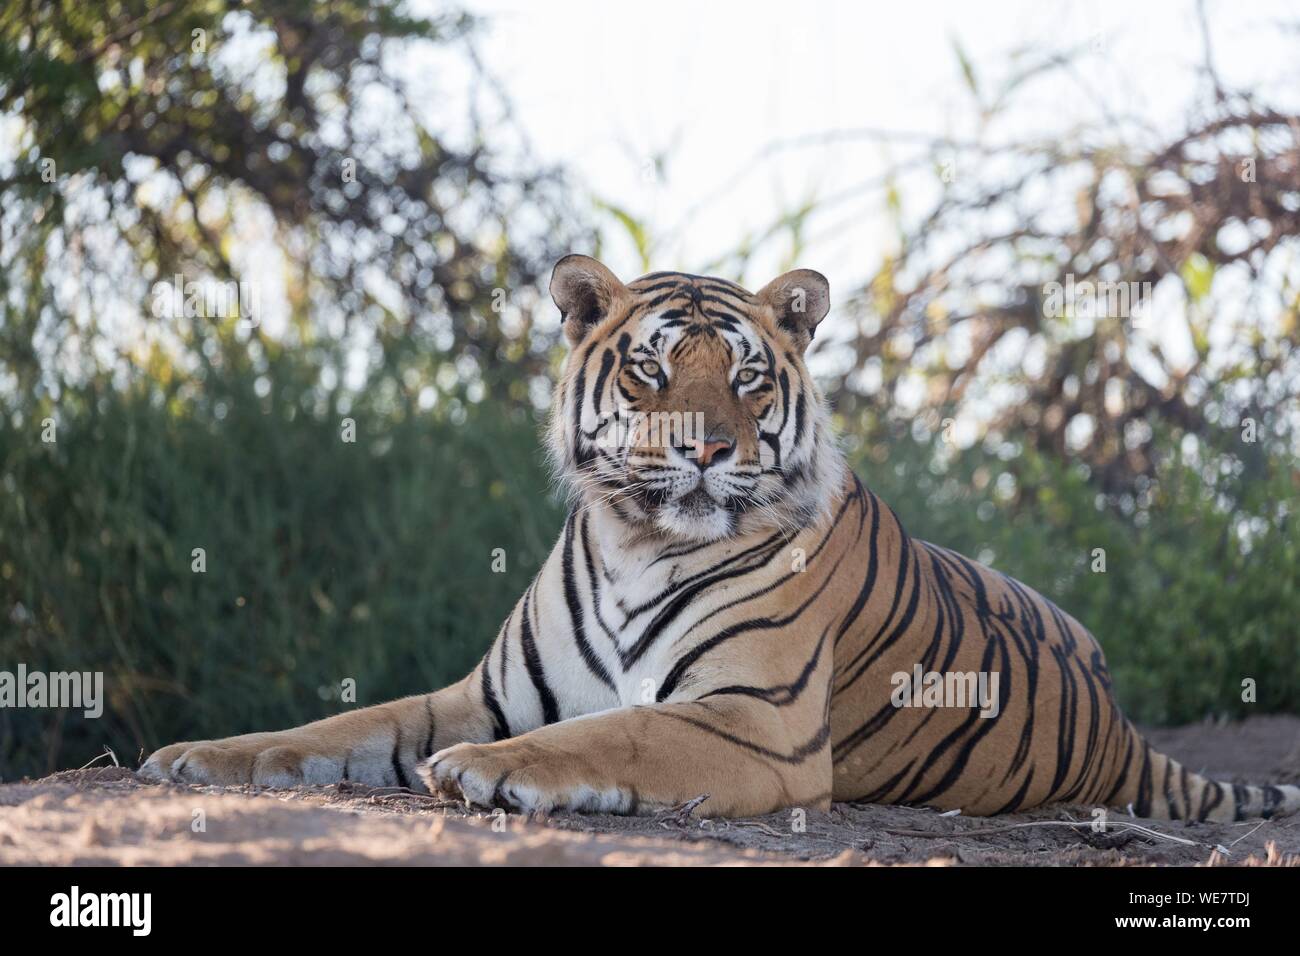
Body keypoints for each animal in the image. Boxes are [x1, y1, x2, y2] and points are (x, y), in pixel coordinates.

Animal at [142, 257, 1300, 827]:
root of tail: (1126, 730)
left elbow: (612, 734)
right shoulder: (479, 692)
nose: (704, 446)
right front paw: (194, 758)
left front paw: (482, 773)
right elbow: (334, 725)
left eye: (745, 376)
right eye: (651, 368)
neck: (635, 541)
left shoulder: (754, 719)